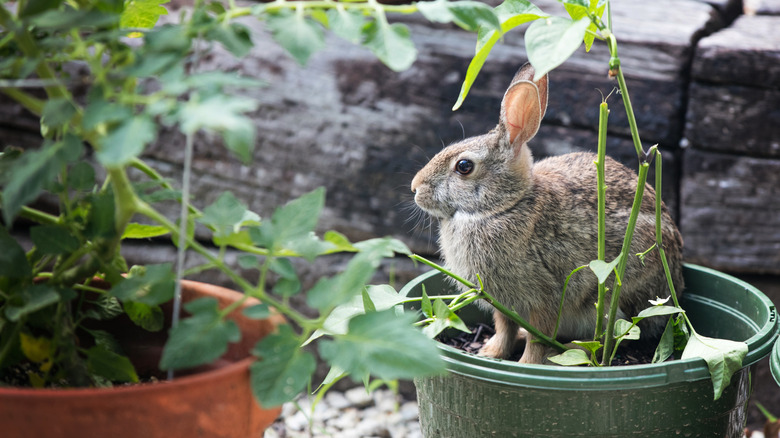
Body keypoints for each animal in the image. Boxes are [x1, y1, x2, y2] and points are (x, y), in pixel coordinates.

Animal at [410, 63, 684, 364]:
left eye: (464, 166)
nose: (415, 188)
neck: (504, 206)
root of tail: (676, 283)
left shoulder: (546, 297)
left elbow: (538, 337)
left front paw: (525, 364)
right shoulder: (502, 303)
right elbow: (504, 327)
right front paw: (491, 353)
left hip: (618, 294)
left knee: (614, 337)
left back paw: (568, 351)